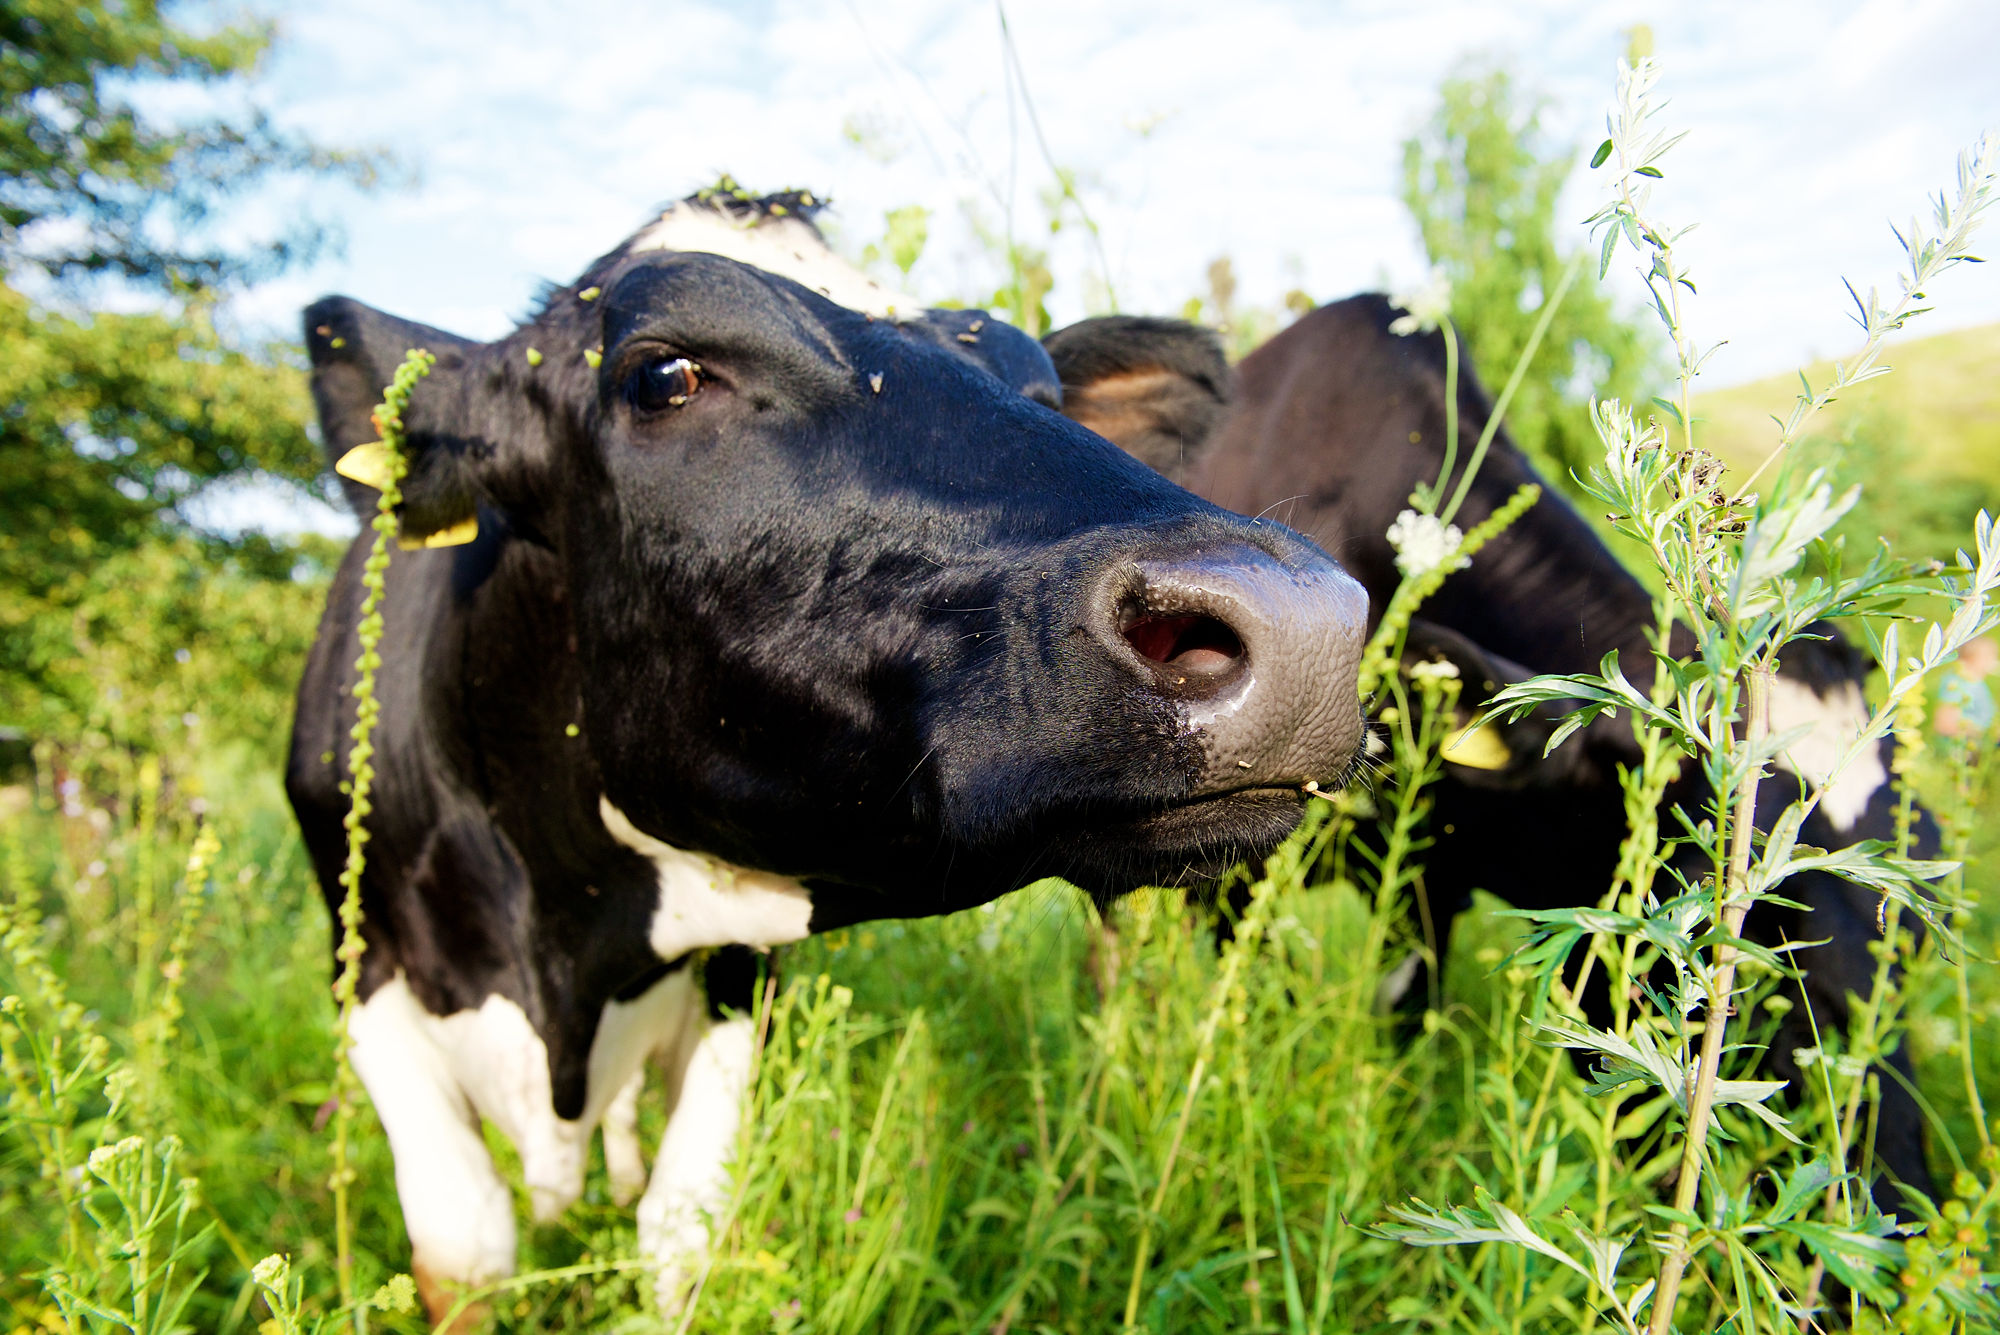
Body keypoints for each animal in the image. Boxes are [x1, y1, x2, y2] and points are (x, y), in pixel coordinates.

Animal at [285, 191, 1369, 1327]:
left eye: (1039, 390)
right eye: (662, 376)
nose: (1298, 617)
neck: (567, 942)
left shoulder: (735, 979)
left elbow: (683, 1226)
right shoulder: (367, 976)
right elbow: (465, 1240)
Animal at [1043, 297, 1941, 1203]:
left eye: (1919, 937)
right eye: (1730, 949)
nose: (1892, 1203)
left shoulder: (1432, 874)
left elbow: (1409, 1011)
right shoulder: (1231, 866)